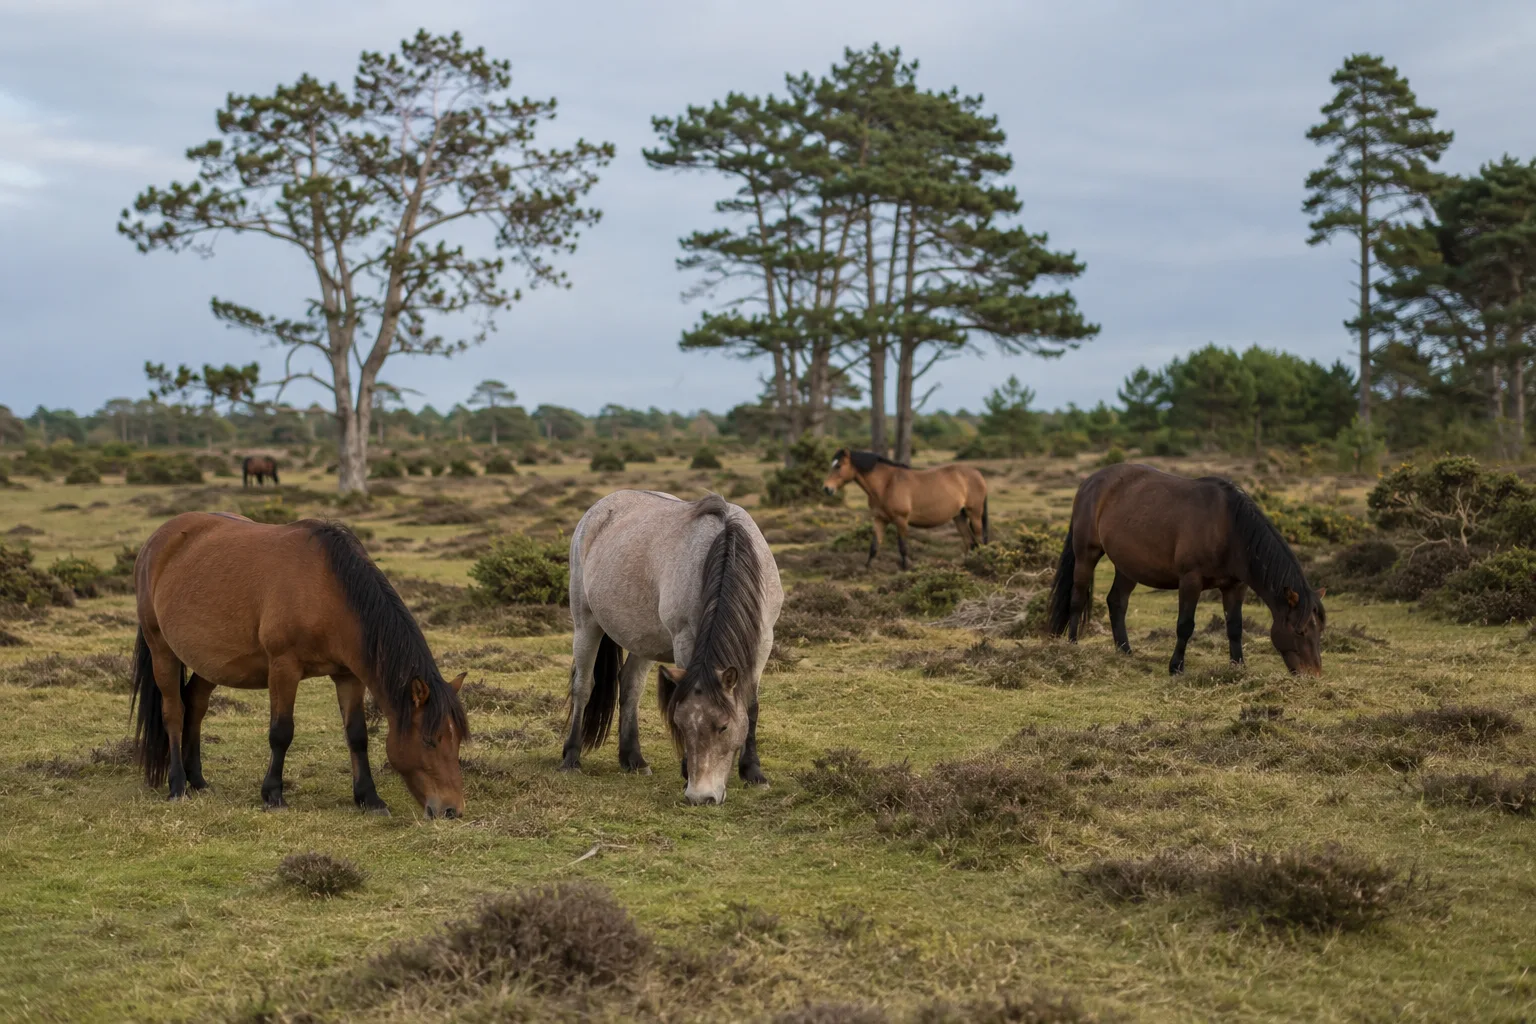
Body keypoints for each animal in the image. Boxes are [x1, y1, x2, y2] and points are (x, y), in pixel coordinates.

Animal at [131, 511, 469, 817]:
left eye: (457, 741)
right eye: (429, 740)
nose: (451, 810)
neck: (328, 590)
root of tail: (157, 539)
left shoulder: (348, 676)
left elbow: (357, 735)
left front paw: (369, 799)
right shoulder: (284, 668)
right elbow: (282, 732)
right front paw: (273, 795)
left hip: (210, 661)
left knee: (196, 704)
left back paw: (198, 780)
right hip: (162, 649)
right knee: (174, 712)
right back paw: (178, 786)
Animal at [560, 490, 783, 805]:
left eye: (724, 726)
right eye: (681, 724)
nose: (701, 797)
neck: (726, 547)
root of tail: (601, 507)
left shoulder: (763, 641)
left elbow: (750, 706)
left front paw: (753, 772)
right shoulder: (684, 639)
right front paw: (687, 770)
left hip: (644, 640)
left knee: (630, 685)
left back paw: (633, 759)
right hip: (586, 623)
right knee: (583, 686)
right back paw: (571, 758)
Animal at [822, 449, 989, 569]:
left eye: (838, 466)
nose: (827, 489)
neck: (887, 484)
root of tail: (978, 474)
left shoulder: (901, 520)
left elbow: (903, 546)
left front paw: (905, 568)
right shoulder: (879, 519)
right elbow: (874, 546)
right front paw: (866, 569)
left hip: (974, 514)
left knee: (978, 540)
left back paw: (978, 562)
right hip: (959, 516)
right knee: (969, 541)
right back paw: (965, 565)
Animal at [1046, 463, 1326, 675]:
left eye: (1319, 631)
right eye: (1300, 631)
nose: (1313, 676)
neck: (1229, 528)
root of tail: (1090, 481)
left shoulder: (1235, 586)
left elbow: (1235, 627)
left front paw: (1238, 666)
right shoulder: (1191, 580)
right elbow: (1185, 625)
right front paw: (1176, 667)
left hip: (1128, 566)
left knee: (1117, 602)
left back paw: (1125, 651)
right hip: (1087, 554)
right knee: (1077, 598)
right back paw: (1073, 645)